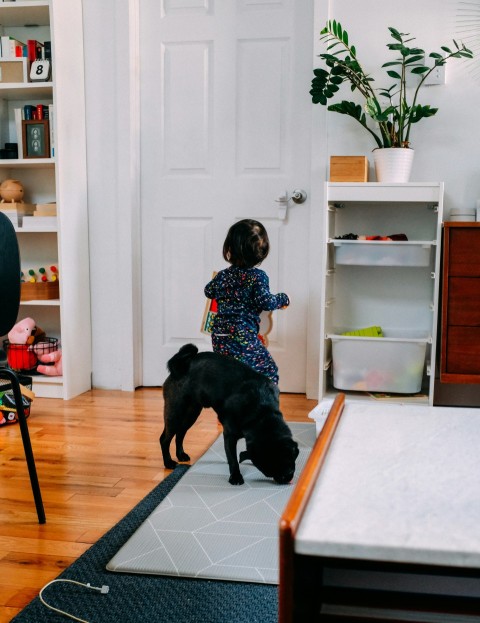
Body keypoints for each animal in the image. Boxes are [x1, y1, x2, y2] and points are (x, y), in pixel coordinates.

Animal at [159, 344, 298, 486]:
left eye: (290, 465)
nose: (285, 479)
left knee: (180, 434)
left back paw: (181, 455)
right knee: (164, 439)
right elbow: (233, 459)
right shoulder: (229, 435)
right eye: (268, 472)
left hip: (190, 414)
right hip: (175, 414)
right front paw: (235, 476)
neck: (262, 414)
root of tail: (182, 366)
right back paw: (168, 462)